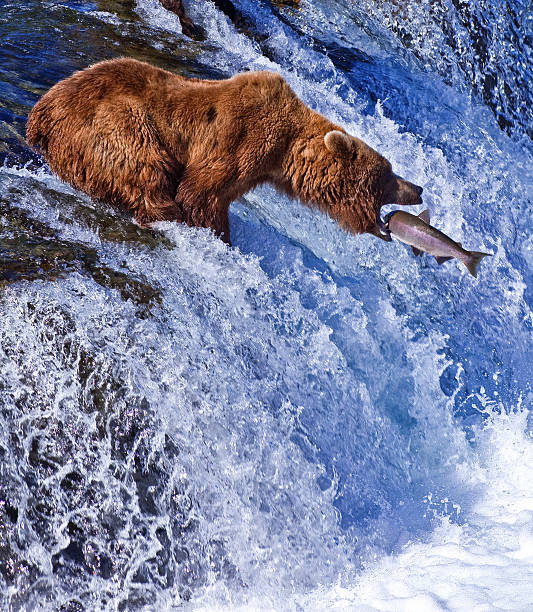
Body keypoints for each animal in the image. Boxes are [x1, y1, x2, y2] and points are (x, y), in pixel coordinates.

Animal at [27, 58, 422, 244]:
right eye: (387, 174)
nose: (418, 188)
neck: (283, 154)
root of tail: (40, 114)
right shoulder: (241, 140)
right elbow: (200, 194)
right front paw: (216, 235)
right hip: (112, 122)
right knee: (143, 167)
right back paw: (162, 211)